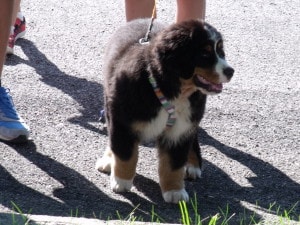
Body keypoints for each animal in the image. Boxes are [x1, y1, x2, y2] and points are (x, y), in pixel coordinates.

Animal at [96, 18, 234, 203]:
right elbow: (125, 154)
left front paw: (175, 191)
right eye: (204, 54)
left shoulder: (180, 130)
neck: (168, 91)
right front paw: (121, 181)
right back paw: (108, 160)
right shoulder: (122, 121)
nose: (230, 71)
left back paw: (193, 164)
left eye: (220, 51)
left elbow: (173, 164)